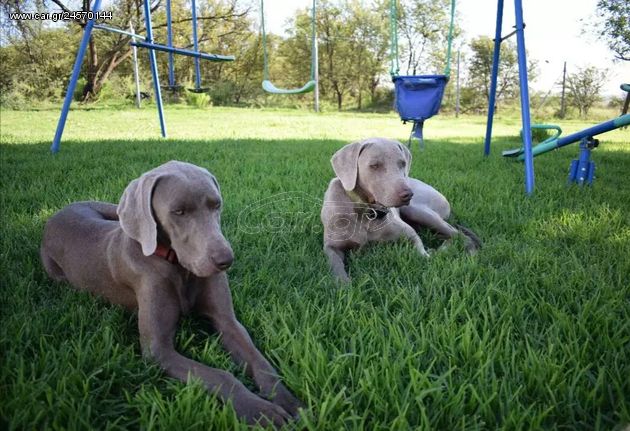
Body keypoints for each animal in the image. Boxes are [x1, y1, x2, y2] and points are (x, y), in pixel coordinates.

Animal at [40, 160, 304, 426]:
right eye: (178, 212)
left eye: (216, 205)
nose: (225, 260)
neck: (177, 265)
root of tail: (62, 210)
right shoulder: (158, 350)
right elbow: (220, 375)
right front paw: (261, 410)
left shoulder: (228, 323)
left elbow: (260, 362)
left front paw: (289, 402)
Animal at [324, 137, 482, 282]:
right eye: (374, 166)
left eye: (402, 164)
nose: (408, 194)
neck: (367, 212)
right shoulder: (331, 246)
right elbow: (335, 264)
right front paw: (344, 285)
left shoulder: (408, 232)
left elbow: (421, 250)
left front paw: (429, 254)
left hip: (416, 210)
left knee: (460, 236)